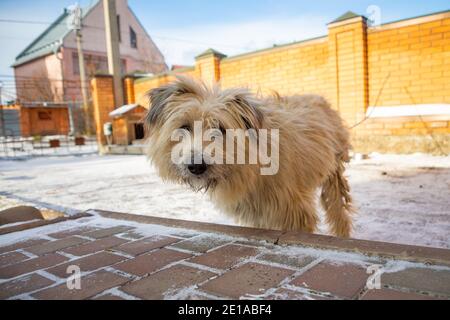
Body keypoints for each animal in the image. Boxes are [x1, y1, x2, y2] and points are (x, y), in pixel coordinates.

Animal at [146, 76, 354, 238]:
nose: (196, 165)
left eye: (221, 128)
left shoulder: (295, 212)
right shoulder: (258, 215)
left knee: (338, 211)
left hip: (334, 176)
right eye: (184, 126)